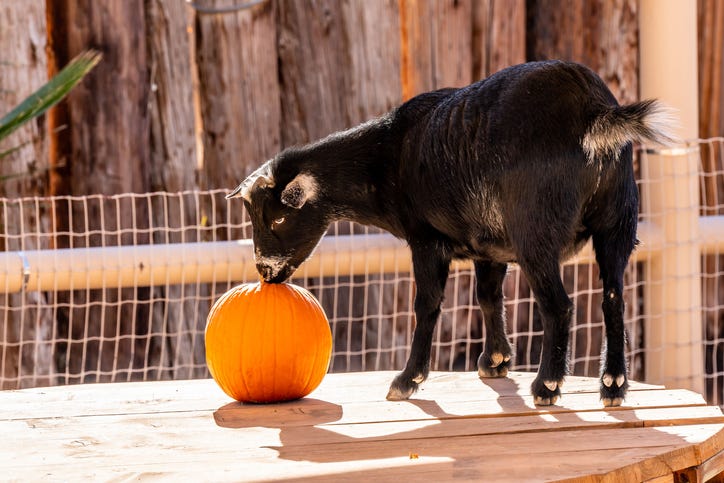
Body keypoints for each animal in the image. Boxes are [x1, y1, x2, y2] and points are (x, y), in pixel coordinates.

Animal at [227, 60, 677, 406]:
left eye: (278, 220)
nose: (264, 272)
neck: (388, 156)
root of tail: (591, 112)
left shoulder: (427, 240)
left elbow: (427, 305)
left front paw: (407, 380)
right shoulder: (489, 247)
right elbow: (488, 297)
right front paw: (495, 361)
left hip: (536, 230)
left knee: (560, 305)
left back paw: (548, 385)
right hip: (618, 220)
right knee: (614, 296)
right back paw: (613, 385)